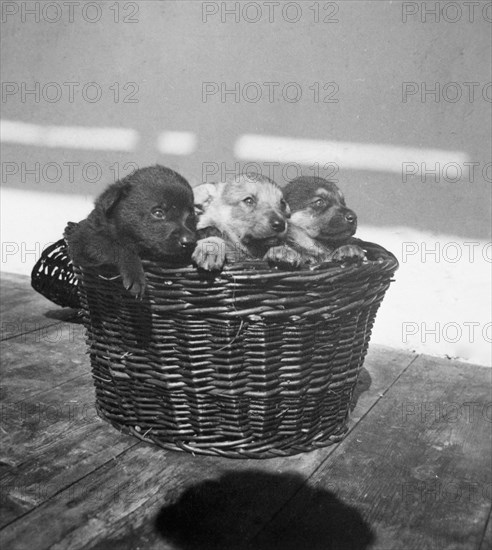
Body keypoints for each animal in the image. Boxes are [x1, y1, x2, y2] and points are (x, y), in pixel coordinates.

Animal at [65, 166, 196, 300]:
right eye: (158, 212)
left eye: (191, 214)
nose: (189, 241)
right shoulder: (84, 239)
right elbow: (119, 247)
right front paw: (135, 276)